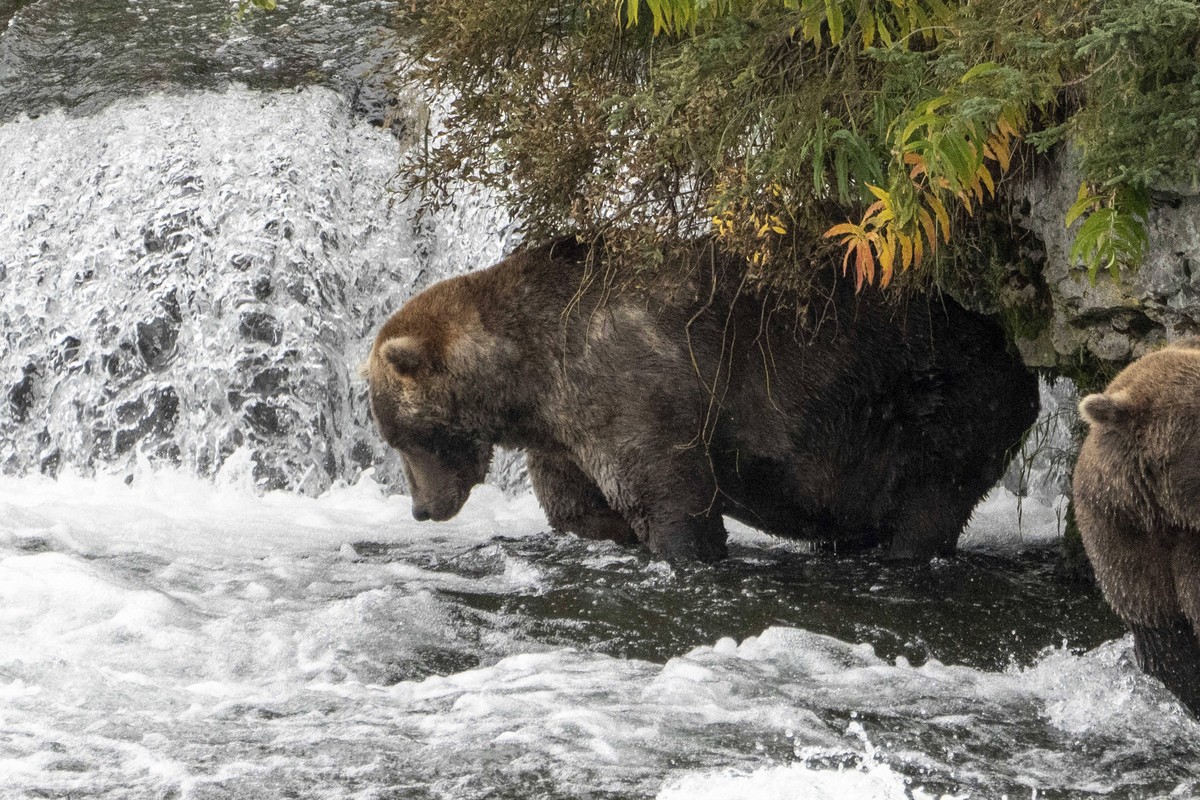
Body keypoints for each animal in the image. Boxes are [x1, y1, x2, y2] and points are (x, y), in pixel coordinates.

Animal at [364, 238, 1039, 562]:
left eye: (405, 438)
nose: (421, 508)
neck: (527, 368)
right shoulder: (563, 427)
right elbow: (577, 506)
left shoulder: (630, 378)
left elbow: (669, 490)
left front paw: (687, 549)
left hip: (935, 398)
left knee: (930, 498)